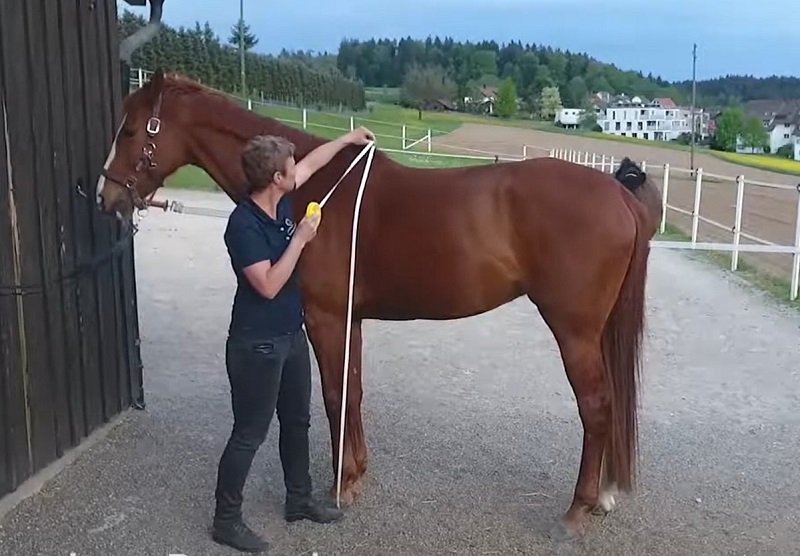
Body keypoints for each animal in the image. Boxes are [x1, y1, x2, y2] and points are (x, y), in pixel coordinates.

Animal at [96, 69, 662, 537]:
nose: (106, 196)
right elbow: (354, 390)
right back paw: (603, 497)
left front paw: (341, 483)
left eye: (131, 131)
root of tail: (619, 195)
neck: (317, 190)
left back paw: (577, 509)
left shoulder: (325, 317)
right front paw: (356, 474)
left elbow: (333, 395)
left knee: (596, 407)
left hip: (574, 331)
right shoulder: (351, 318)